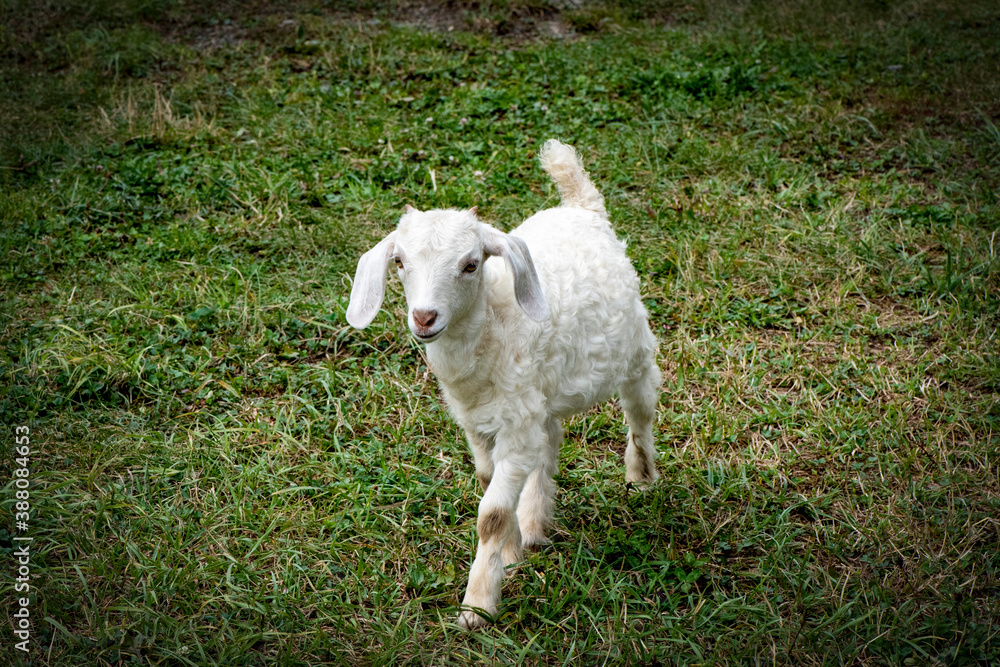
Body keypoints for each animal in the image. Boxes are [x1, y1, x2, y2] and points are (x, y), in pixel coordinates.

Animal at [346, 139, 661, 630]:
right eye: (398, 262)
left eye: (471, 264)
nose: (424, 317)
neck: (494, 323)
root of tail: (582, 206)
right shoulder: (480, 425)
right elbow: (488, 479)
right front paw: (511, 553)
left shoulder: (513, 427)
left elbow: (490, 514)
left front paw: (477, 606)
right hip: (541, 398)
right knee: (549, 442)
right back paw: (533, 525)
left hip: (634, 350)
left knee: (640, 408)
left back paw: (641, 476)